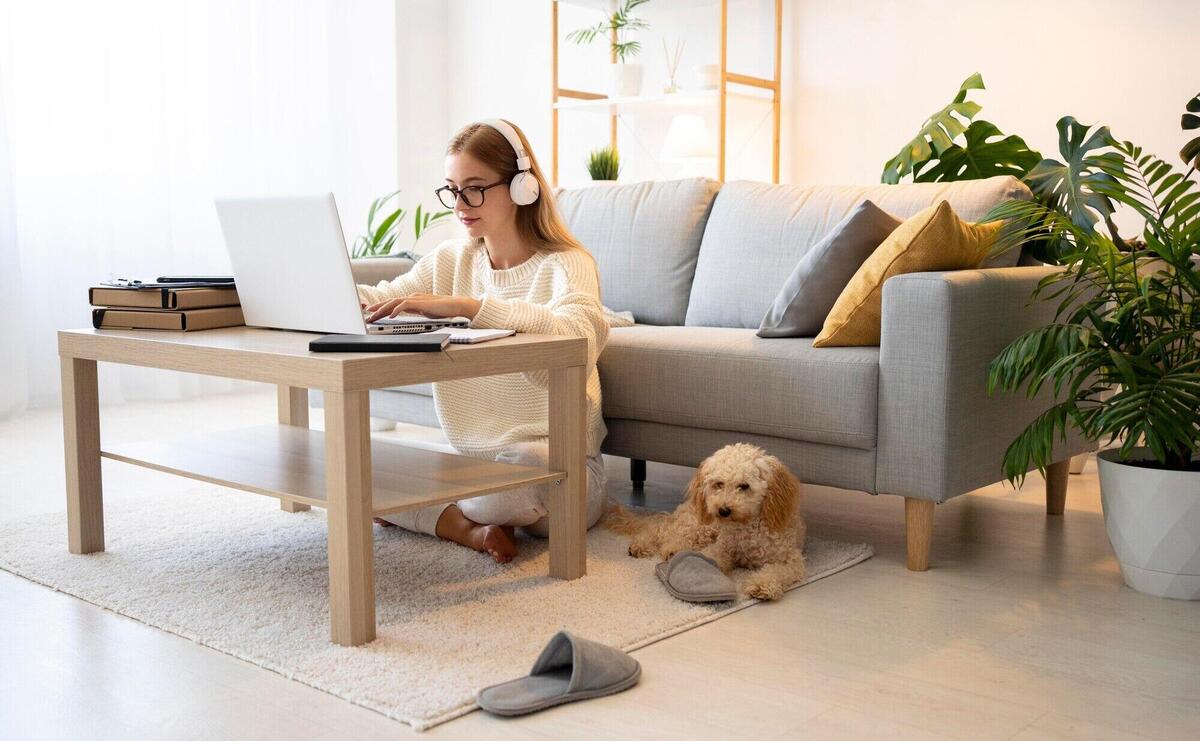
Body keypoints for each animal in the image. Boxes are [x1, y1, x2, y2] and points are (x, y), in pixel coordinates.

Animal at [609, 441, 806, 597]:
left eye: (744, 486)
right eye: (719, 484)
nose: (723, 510)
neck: (747, 527)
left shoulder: (790, 560)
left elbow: (775, 571)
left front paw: (761, 584)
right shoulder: (720, 547)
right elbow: (709, 557)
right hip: (702, 526)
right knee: (661, 529)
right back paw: (646, 545)